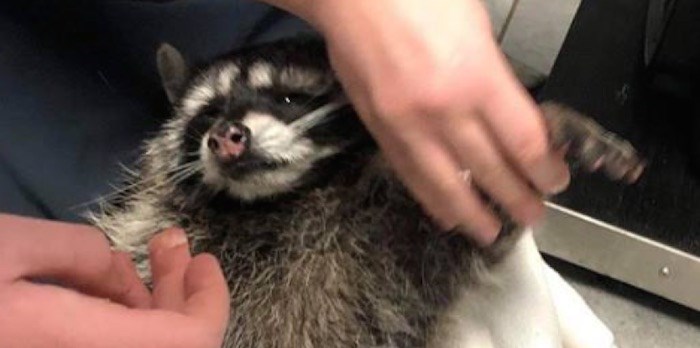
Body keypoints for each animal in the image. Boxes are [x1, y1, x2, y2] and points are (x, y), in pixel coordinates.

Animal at [90, 36, 644, 346]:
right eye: (208, 113)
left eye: (288, 99)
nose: (227, 136)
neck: (273, 202)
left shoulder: (373, 268)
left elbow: (445, 234)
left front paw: (554, 122)